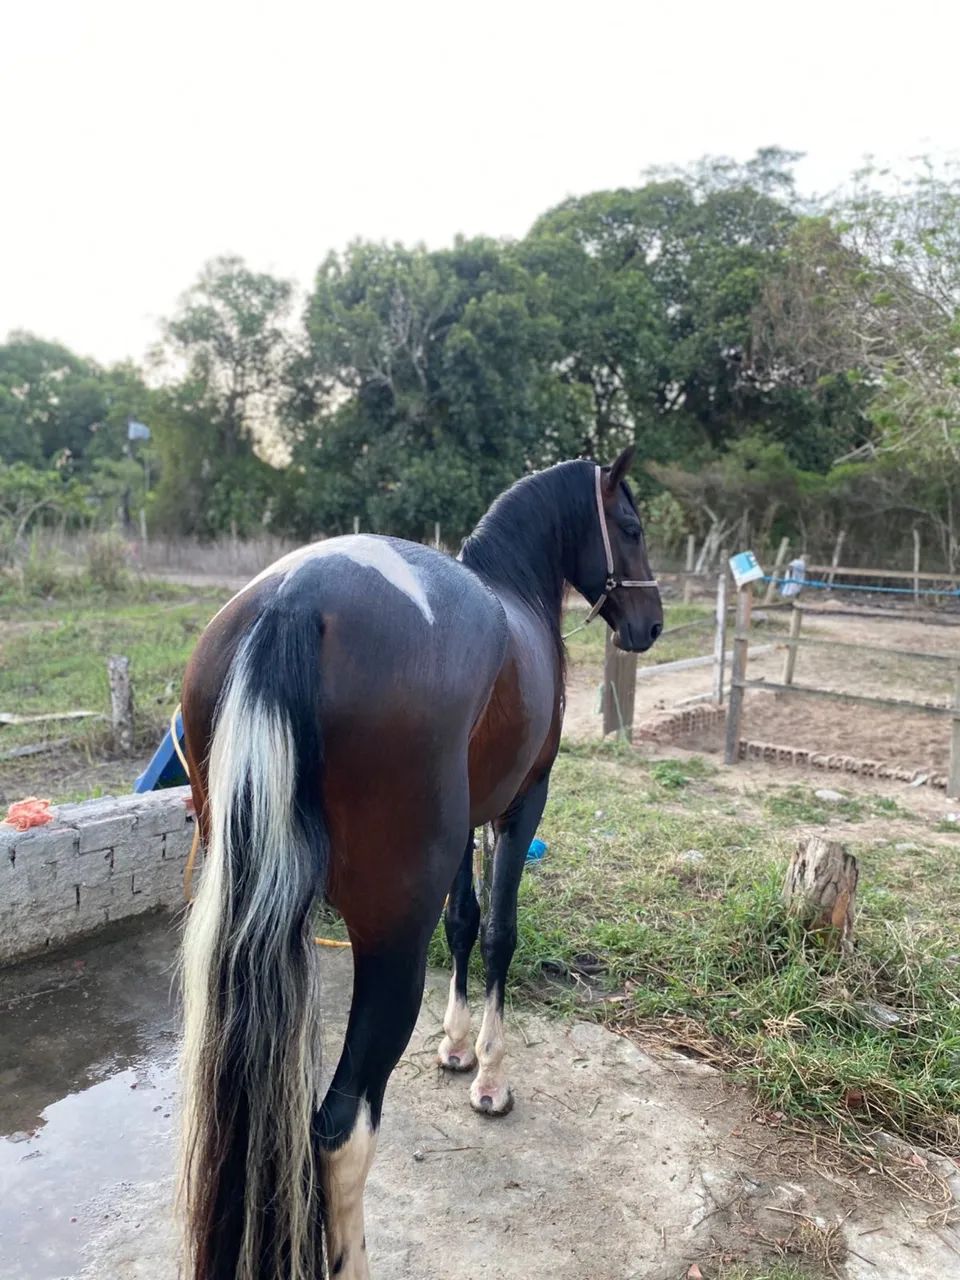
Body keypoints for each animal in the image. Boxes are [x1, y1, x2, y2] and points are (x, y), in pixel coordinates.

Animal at [177, 446, 663, 1280]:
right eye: (628, 525)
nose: (652, 621)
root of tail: (295, 599)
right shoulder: (521, 804)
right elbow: (498, 932)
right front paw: (491, 1073)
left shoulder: (466, 826)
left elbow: (463, 923)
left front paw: (457, 1045)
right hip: (388, 940)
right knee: (338, 1129)